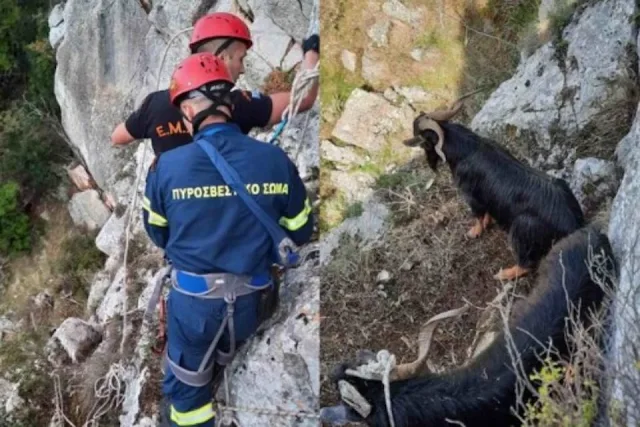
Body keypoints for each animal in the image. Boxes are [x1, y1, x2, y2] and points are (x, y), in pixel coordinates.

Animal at [404, 104, 584, 282]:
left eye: (422, 140)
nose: (407, 142)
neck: (468, 148)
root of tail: (572, 226)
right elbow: (487, 211)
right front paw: (487, 222)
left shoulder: (470, 195)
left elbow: (477, 215)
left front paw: (475, 231)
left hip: (523, 228)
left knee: (526, 264)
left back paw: (504, 274)